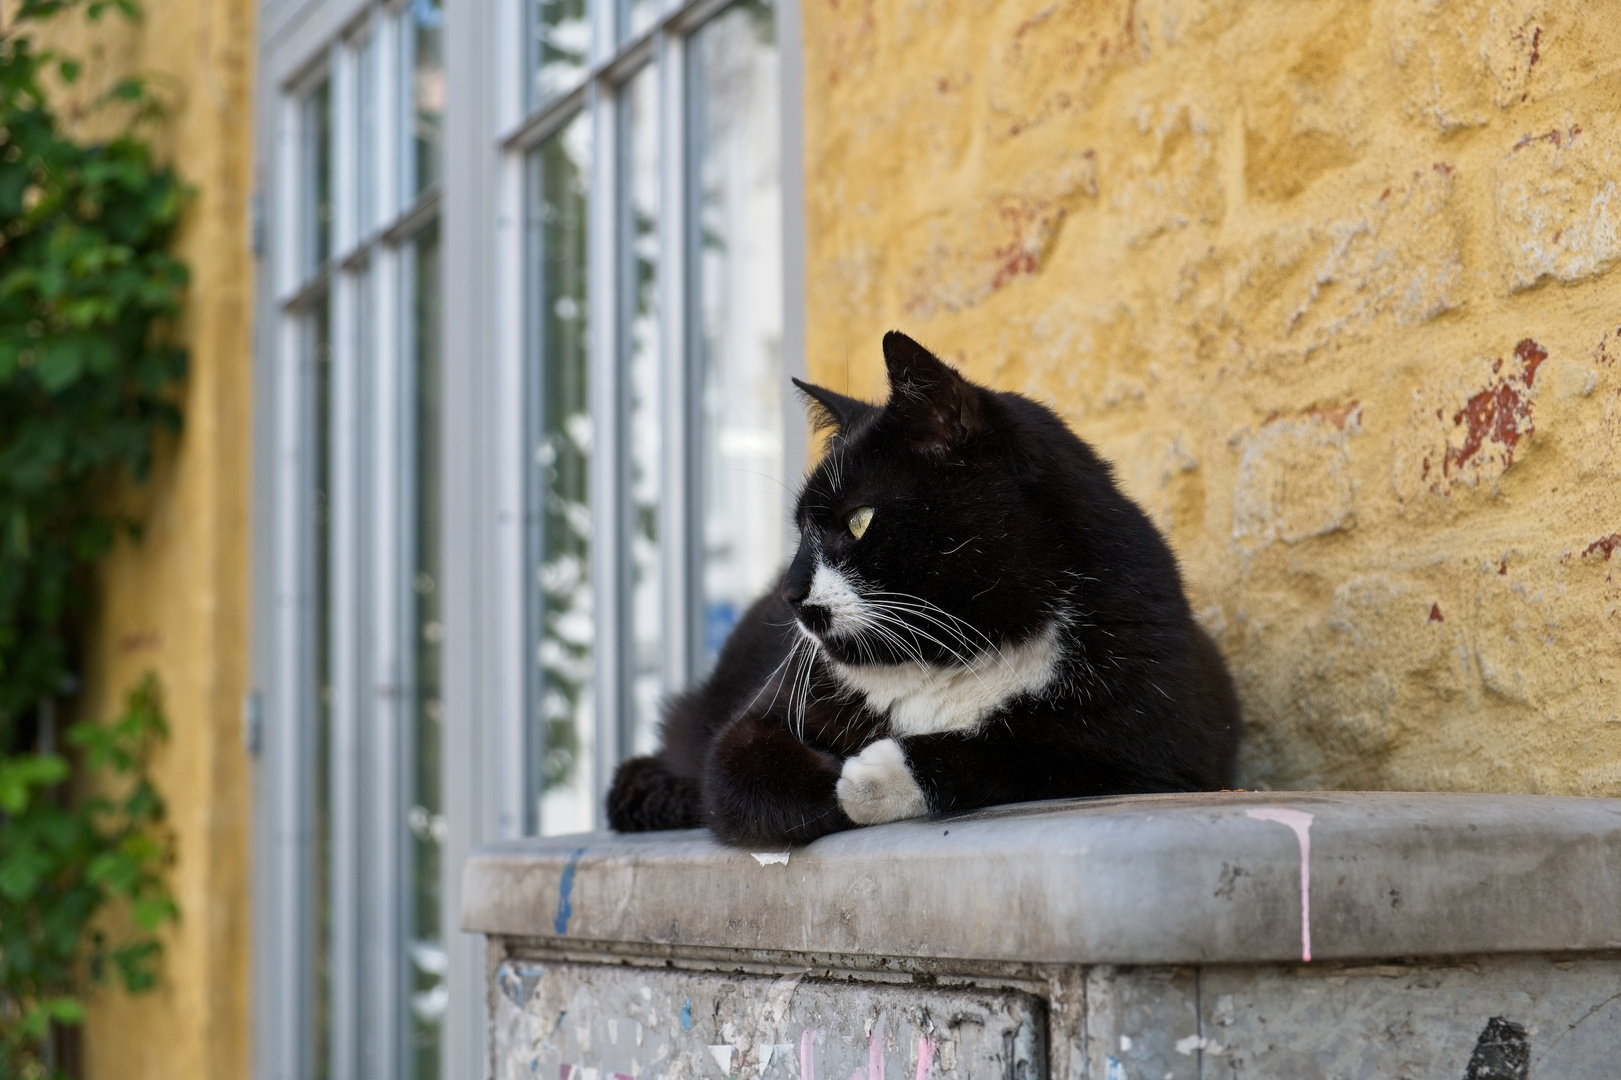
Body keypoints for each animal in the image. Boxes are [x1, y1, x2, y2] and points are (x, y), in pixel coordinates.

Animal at [609, 327, 1238, 843]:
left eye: (858, 521)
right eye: (801, 530)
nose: (790, 593)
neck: (955, 653)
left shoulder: (1162, 749)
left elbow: (1028, 752)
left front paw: (876, 775)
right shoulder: (765, 716)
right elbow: (742, 771)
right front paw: (833, 777)